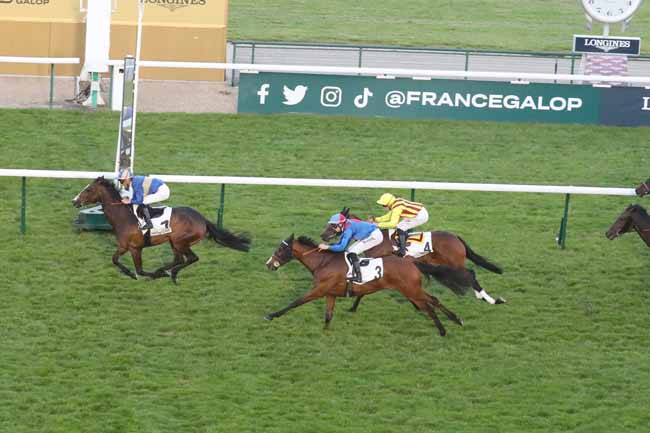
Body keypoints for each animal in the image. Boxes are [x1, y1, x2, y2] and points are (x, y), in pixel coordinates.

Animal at [73, 177, 251, 282]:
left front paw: (151, 275)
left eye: (88, 189)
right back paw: (166, 271)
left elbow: (141, 270)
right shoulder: (124, 246)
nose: (74, 201)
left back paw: (170, 274)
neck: (124, 216)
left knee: (191, 258)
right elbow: (115, 260)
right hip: (173, 241)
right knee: (179, 259)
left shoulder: (135, 248)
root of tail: (202, 219)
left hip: (180, 241)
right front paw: (130, 273)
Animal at [264, 235, 470, 336]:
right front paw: (326, 332)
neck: (323, 262)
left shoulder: (319, 290)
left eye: (281, 249)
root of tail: (411, 262)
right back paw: (454, 321)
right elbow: (328, 315)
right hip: (413, 290)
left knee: (429, 306)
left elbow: (295, 302)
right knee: (432, 301)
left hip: (411, 291)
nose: (269, 264)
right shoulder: (330, 293)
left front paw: (271, 315)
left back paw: (445, 329)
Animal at [322, 209, 504, 310]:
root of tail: (456, 237)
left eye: (332, 225)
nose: (323, 235)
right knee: (469, 275)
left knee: (470, 274)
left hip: (454, 262)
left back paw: (489, 299)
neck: (374, 237)